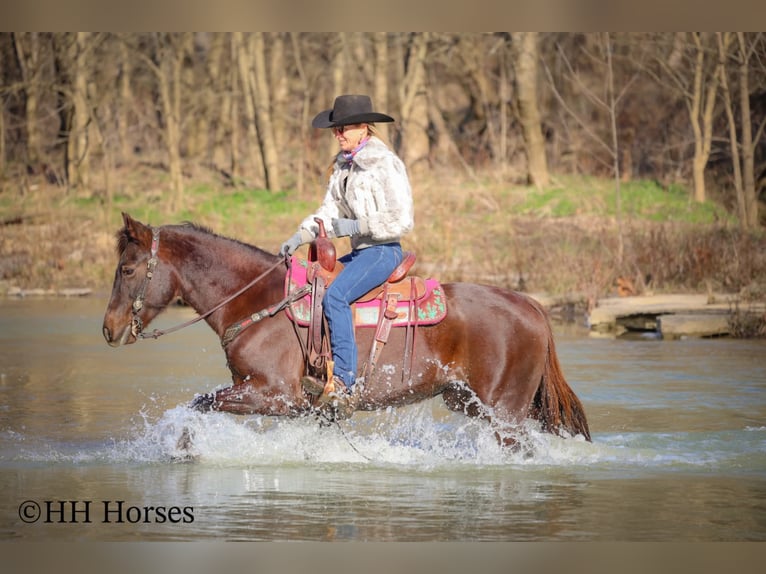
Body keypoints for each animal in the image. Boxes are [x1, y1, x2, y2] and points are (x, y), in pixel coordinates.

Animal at [102, 213, 591, 447]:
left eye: (127, 269)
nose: (108, 329)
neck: (258, 300)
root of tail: (530, 304)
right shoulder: (300, 406)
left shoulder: (272, 395)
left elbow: (197, 405)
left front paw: (182, 447)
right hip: (474, 402)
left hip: (504, 411)